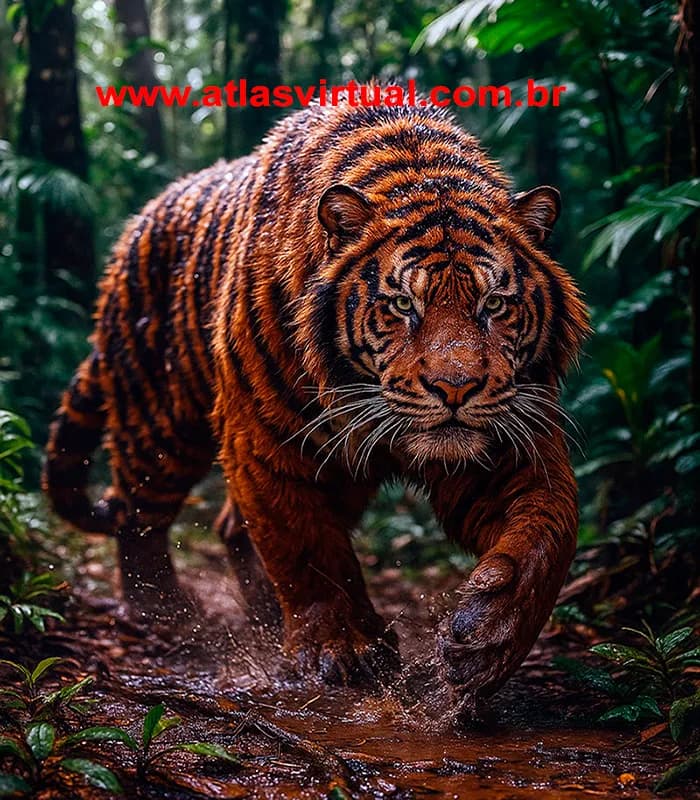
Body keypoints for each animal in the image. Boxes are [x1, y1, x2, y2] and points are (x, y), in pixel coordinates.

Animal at [43, 95, 589, 707]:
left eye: (494, 304)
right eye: (403, 304)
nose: (456, 388)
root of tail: (131, 233)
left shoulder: (503, 442)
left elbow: (551, 525)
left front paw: (491, 634)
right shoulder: (267, 442)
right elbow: (306, 549)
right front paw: (341, 645)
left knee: (230, 526)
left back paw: (261, 616)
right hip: (161, 424)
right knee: (137, 513)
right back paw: (164, 610)